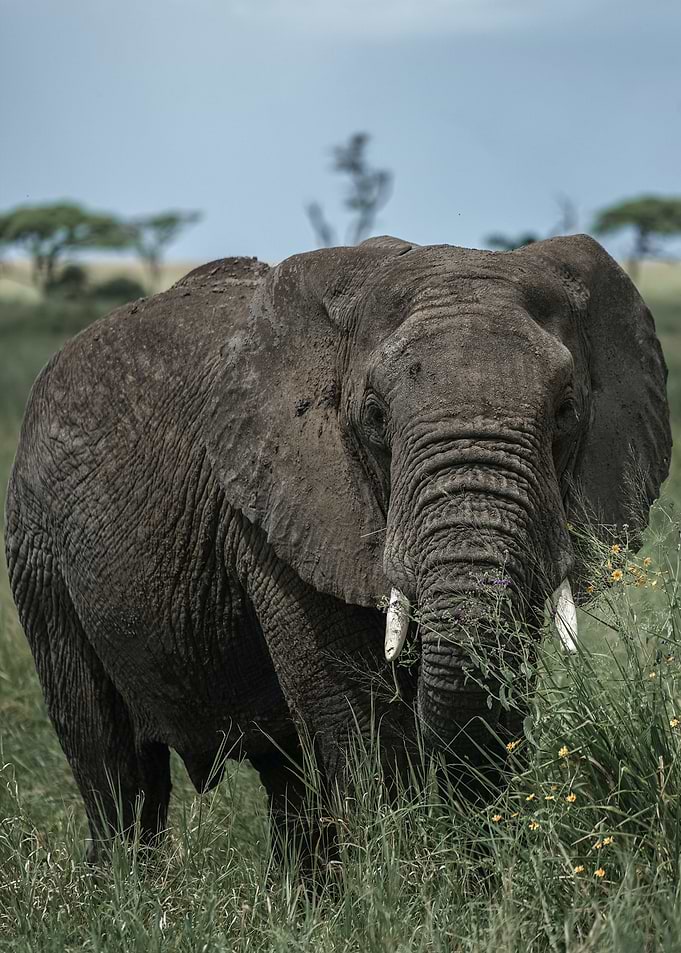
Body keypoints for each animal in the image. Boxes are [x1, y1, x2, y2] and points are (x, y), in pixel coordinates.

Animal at [4, 234, 671, 864]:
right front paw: (404, 882)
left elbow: (497, 689)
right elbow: (358, 714)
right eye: (374, 417)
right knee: (111, 762)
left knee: (284, 779)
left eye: (565, 411)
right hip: (38, 547)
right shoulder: (277, 508)